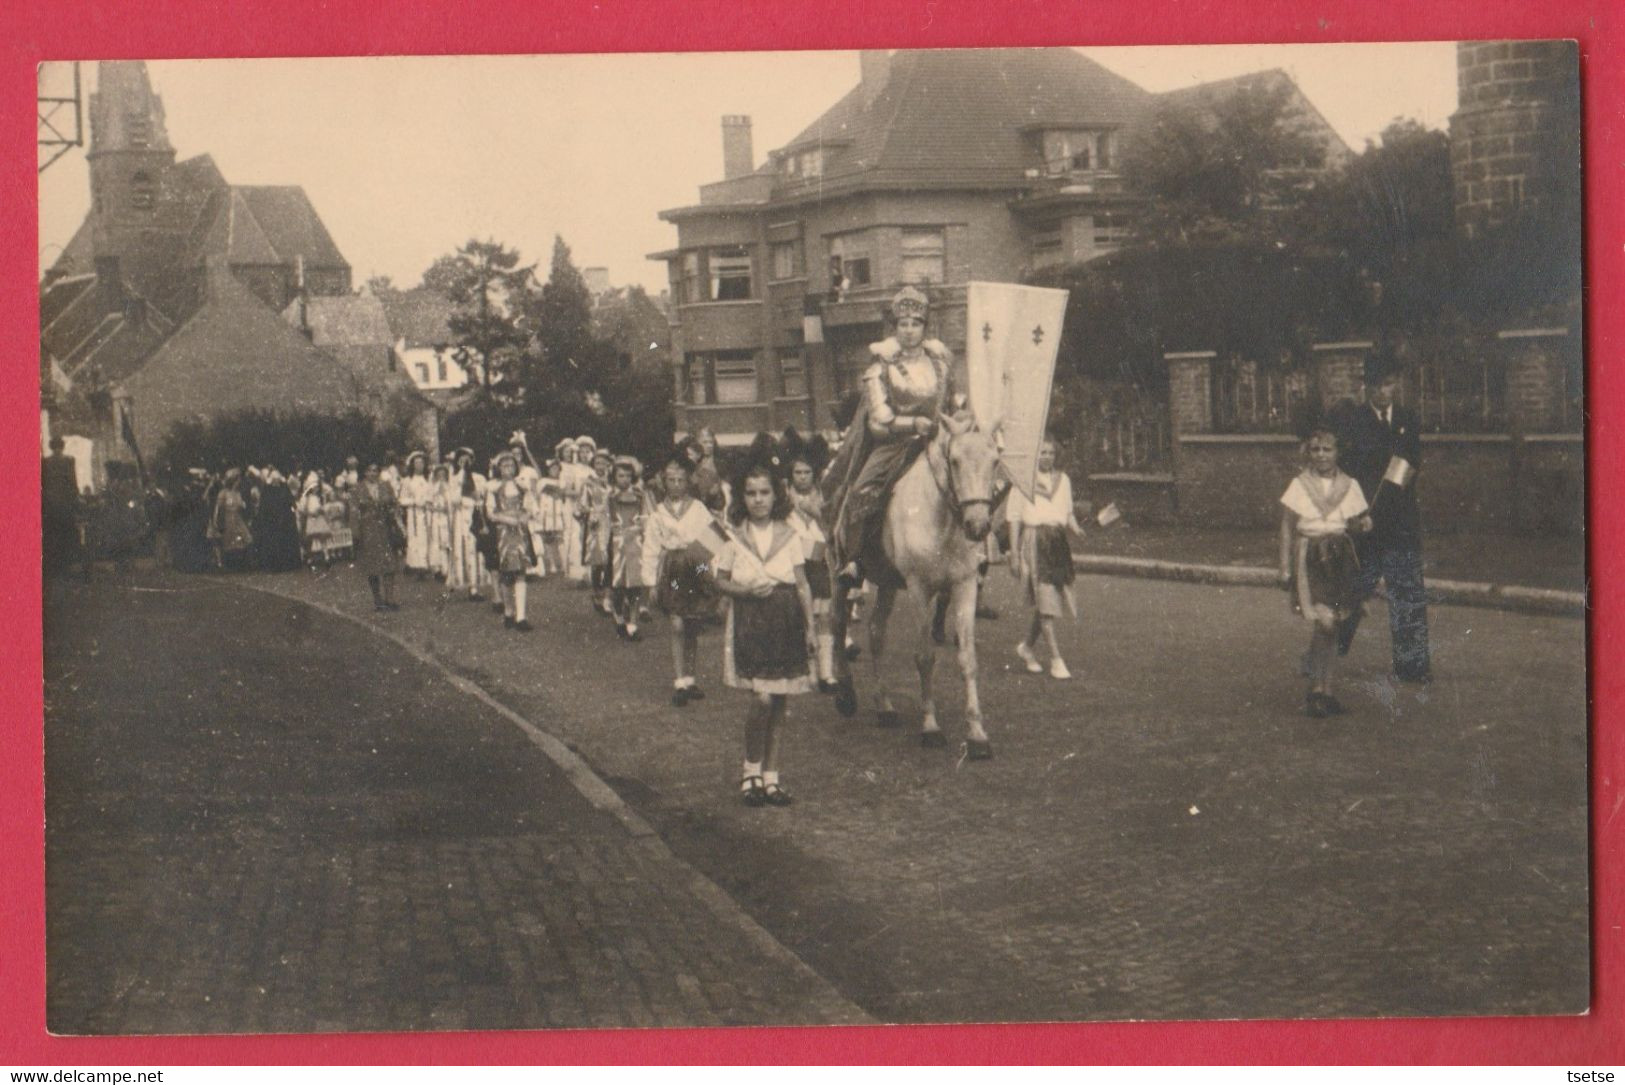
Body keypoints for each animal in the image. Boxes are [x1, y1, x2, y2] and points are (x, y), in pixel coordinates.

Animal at [838, 410, 1001, 760]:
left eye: (995, 460)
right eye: (954, 461)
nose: (978, 526)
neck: (941, 519)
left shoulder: (965, 584)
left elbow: (967, 658)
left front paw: (977, 735)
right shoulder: (919, 588)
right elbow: (925, 657)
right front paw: (931, 727)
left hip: (886, 581)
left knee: (876, 632)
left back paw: (884, 706)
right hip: (837, 575)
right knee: (833, 624)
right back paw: (842, 691)